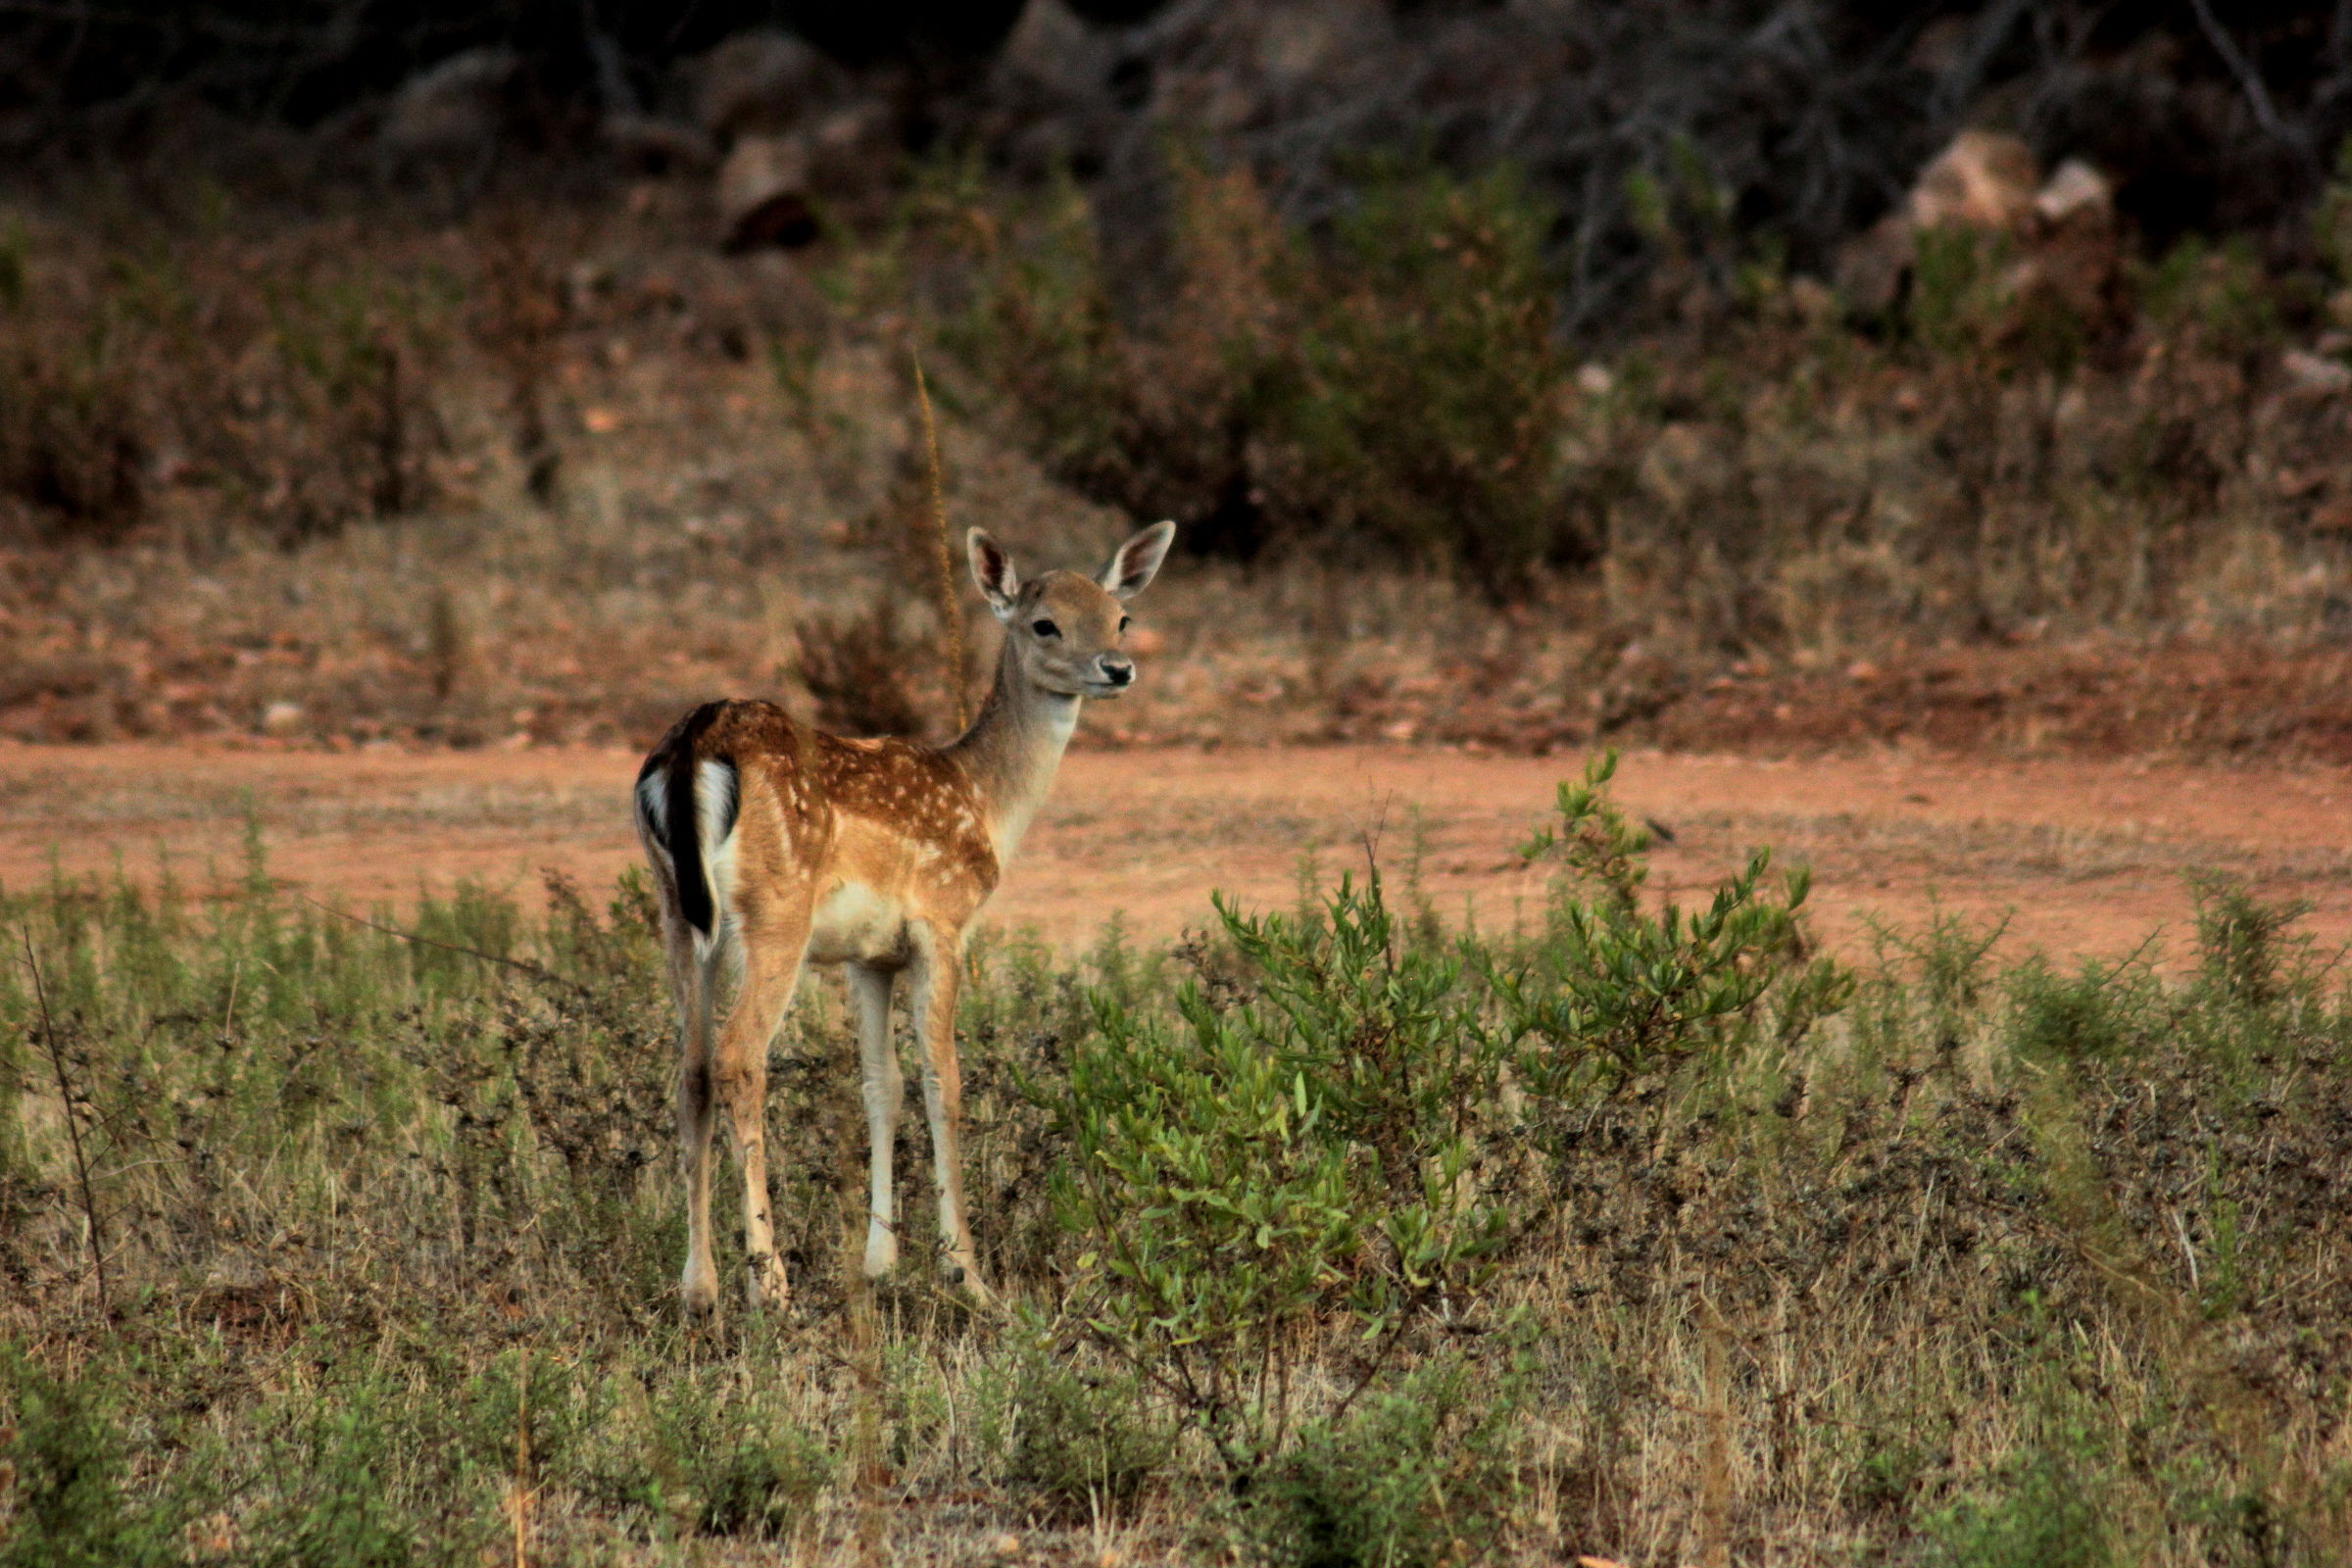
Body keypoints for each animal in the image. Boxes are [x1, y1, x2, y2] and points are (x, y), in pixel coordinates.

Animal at [633, 520, 1176, 1318]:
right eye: (1044, 623)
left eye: (1121, 617)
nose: (1117, 668)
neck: (984, 803)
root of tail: (696, 746)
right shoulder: (941, 924)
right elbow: (942, 1080)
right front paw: (969, 1275)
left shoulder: (871, 956)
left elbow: (880, 1086)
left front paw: (880, 1265)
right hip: (775, 913)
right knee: (739, 1057)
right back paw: (771, 1285)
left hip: (676, 913)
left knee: (692, 1068)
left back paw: (698, 1290)